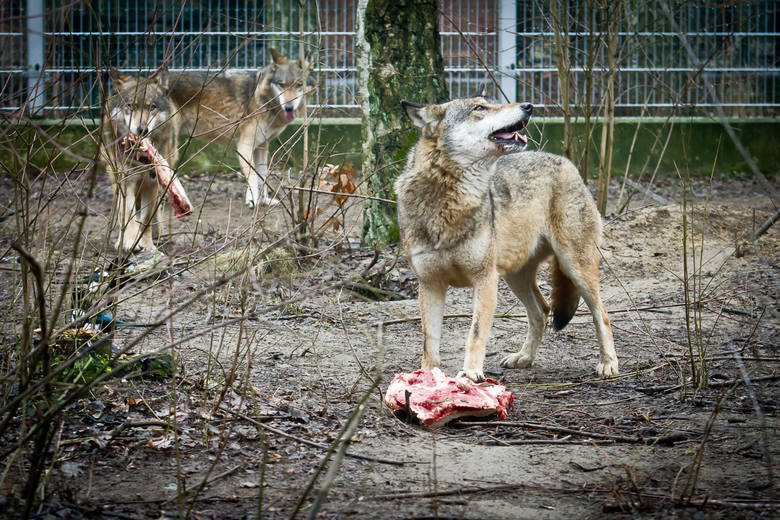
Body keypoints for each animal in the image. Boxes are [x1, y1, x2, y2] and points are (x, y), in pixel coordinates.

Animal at [99, 69, 180, 256]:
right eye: (130, 106)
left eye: (152, 107)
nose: (142, 130)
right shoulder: (125, 181)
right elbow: (127, 214)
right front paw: (129, 242)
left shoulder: (152, 183)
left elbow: (146, 220)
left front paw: (148, 245)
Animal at [396, 98, 620, 382]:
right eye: (480, 108)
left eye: (488, 102)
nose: (529, 106)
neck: (449, 199)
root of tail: (565, 161)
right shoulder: (430, 284)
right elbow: (429, 340)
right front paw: (427, 376)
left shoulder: (485, 280)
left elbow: (475, 334)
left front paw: (470, 374)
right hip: (516, 277)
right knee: (542, 310)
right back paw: (523, 357)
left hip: (575, 267)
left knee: (601, 313)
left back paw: (608, 364)